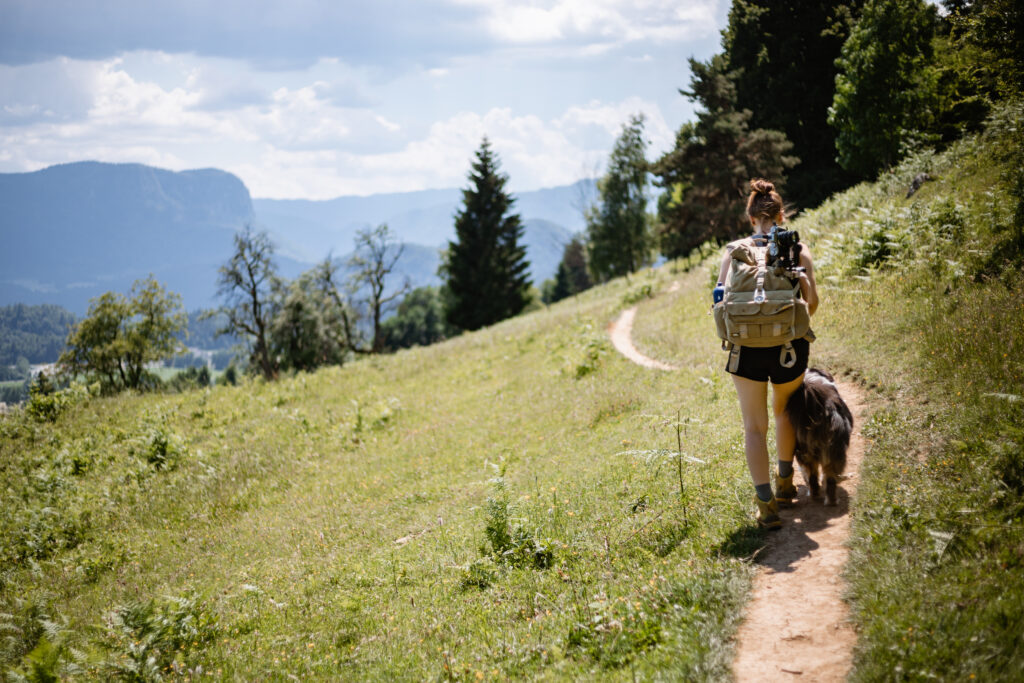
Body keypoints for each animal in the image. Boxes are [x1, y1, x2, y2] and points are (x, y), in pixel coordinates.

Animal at [786, 368, 851, 507]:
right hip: (834, 451)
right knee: (829, 478)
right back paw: (831, 501)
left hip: (806, 451)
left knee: (812, 475)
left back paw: (815, 494)